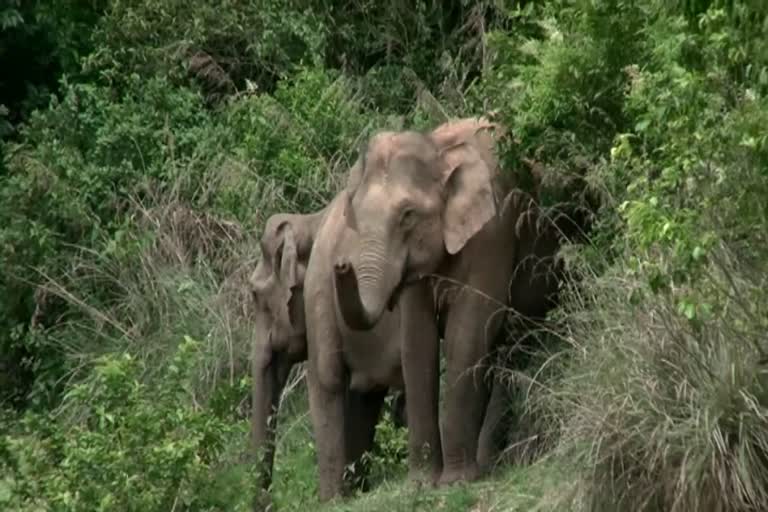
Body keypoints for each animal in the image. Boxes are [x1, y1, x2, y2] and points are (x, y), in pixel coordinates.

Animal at [332, 118, 568, 486]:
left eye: (408, 215)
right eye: (354, 214)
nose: (341, 265)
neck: (438, 150)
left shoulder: (493, 231)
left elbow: (466, 331)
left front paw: (455, 482)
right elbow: (418, 341)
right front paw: (421, 484)